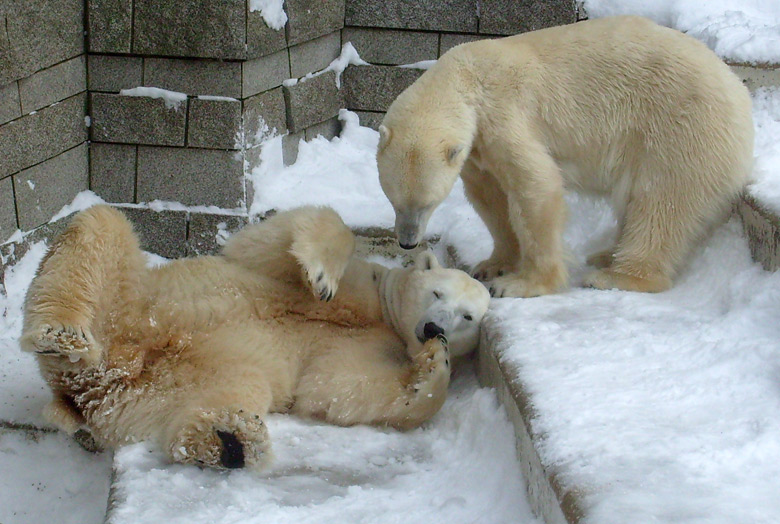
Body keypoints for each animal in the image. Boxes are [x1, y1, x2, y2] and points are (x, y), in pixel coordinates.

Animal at [19, 205, 488, 470]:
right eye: (437, 293)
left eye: (468, 316)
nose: (434, 328)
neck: (384, 316)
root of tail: (80, 393)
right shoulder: (357, 284)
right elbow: (271, 242)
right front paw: (320, 275)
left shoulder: (361, 346)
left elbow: (335, 387)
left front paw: (436, 362)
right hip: (125, 301)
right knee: (99, 225)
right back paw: (61, 333)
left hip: (154, 392)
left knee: (232, 391)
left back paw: (231, 443)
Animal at [378, 15, 756, 294]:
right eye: (394, 200)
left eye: (427, 204)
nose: (408, 242)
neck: (468, 76)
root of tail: (740, 95)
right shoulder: (477, 149)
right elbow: (490, 197)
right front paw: (493, 265)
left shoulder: (504, 116)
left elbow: (535, 187)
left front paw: (522, 283)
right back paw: (606, 255)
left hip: (680, 129)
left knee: (661, 204)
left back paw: (617, 275)